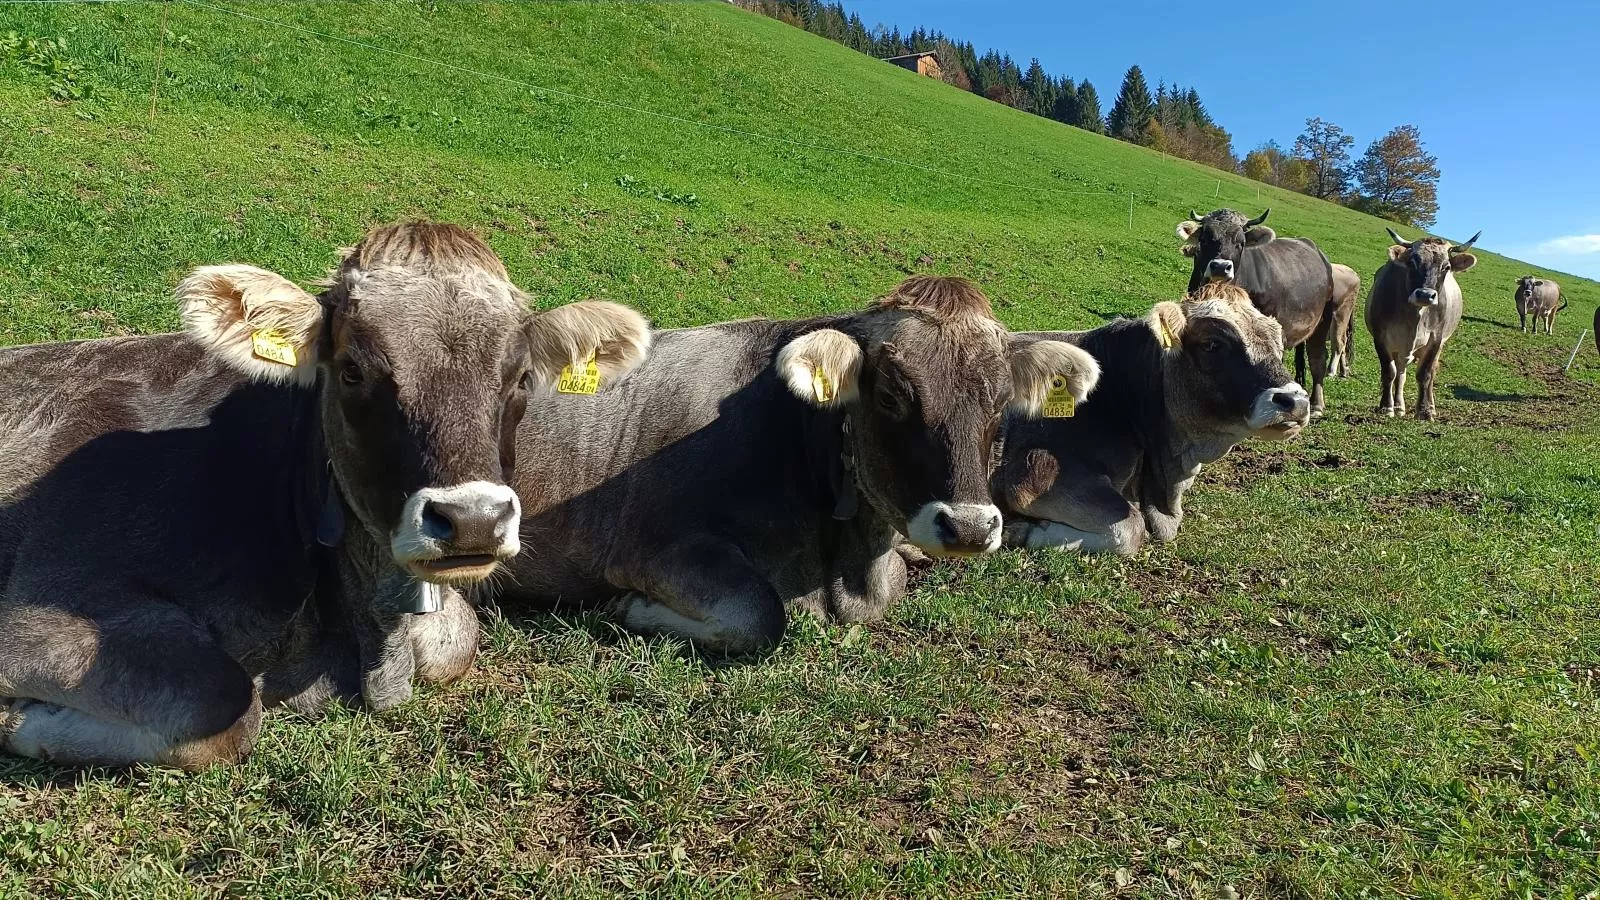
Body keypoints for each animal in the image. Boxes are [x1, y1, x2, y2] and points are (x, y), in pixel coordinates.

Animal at [0, 219, 652, 762]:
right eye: (353, 370)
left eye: (520, 378)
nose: (473, 519)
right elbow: (223, 705)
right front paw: (17, 721)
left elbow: (458, 638)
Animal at [489, 273, 1100, 650]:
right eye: (891, 395)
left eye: (1002, 401)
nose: (969, 528)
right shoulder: (654, 544)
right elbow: (760, 613)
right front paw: (629, 608)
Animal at [998, 281, 1312, 554]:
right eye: (1212, 344)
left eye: (1279, 342)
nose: (1295, 400)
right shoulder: (1032, 476)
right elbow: (1130, 528)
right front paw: (1020, 531)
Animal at [1177, 211, 1337, 416]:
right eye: (1204, 239)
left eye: (1241, 243)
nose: (1220, 266)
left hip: (1323, 320)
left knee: (1318, 359)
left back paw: (1317, 404)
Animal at [1363, 225, 1484, 419]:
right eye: (1413, 262)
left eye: (1446, 267)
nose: (1426, 295)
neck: (1415, 318)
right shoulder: (1381, 337)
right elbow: (1389, 372)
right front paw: (1387, 407)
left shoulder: (1436, 339)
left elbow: (1425, 374)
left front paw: (1424, 411)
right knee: (1400, 372)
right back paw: (1399, 406)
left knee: (1429, 372)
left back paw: (1429, 406)